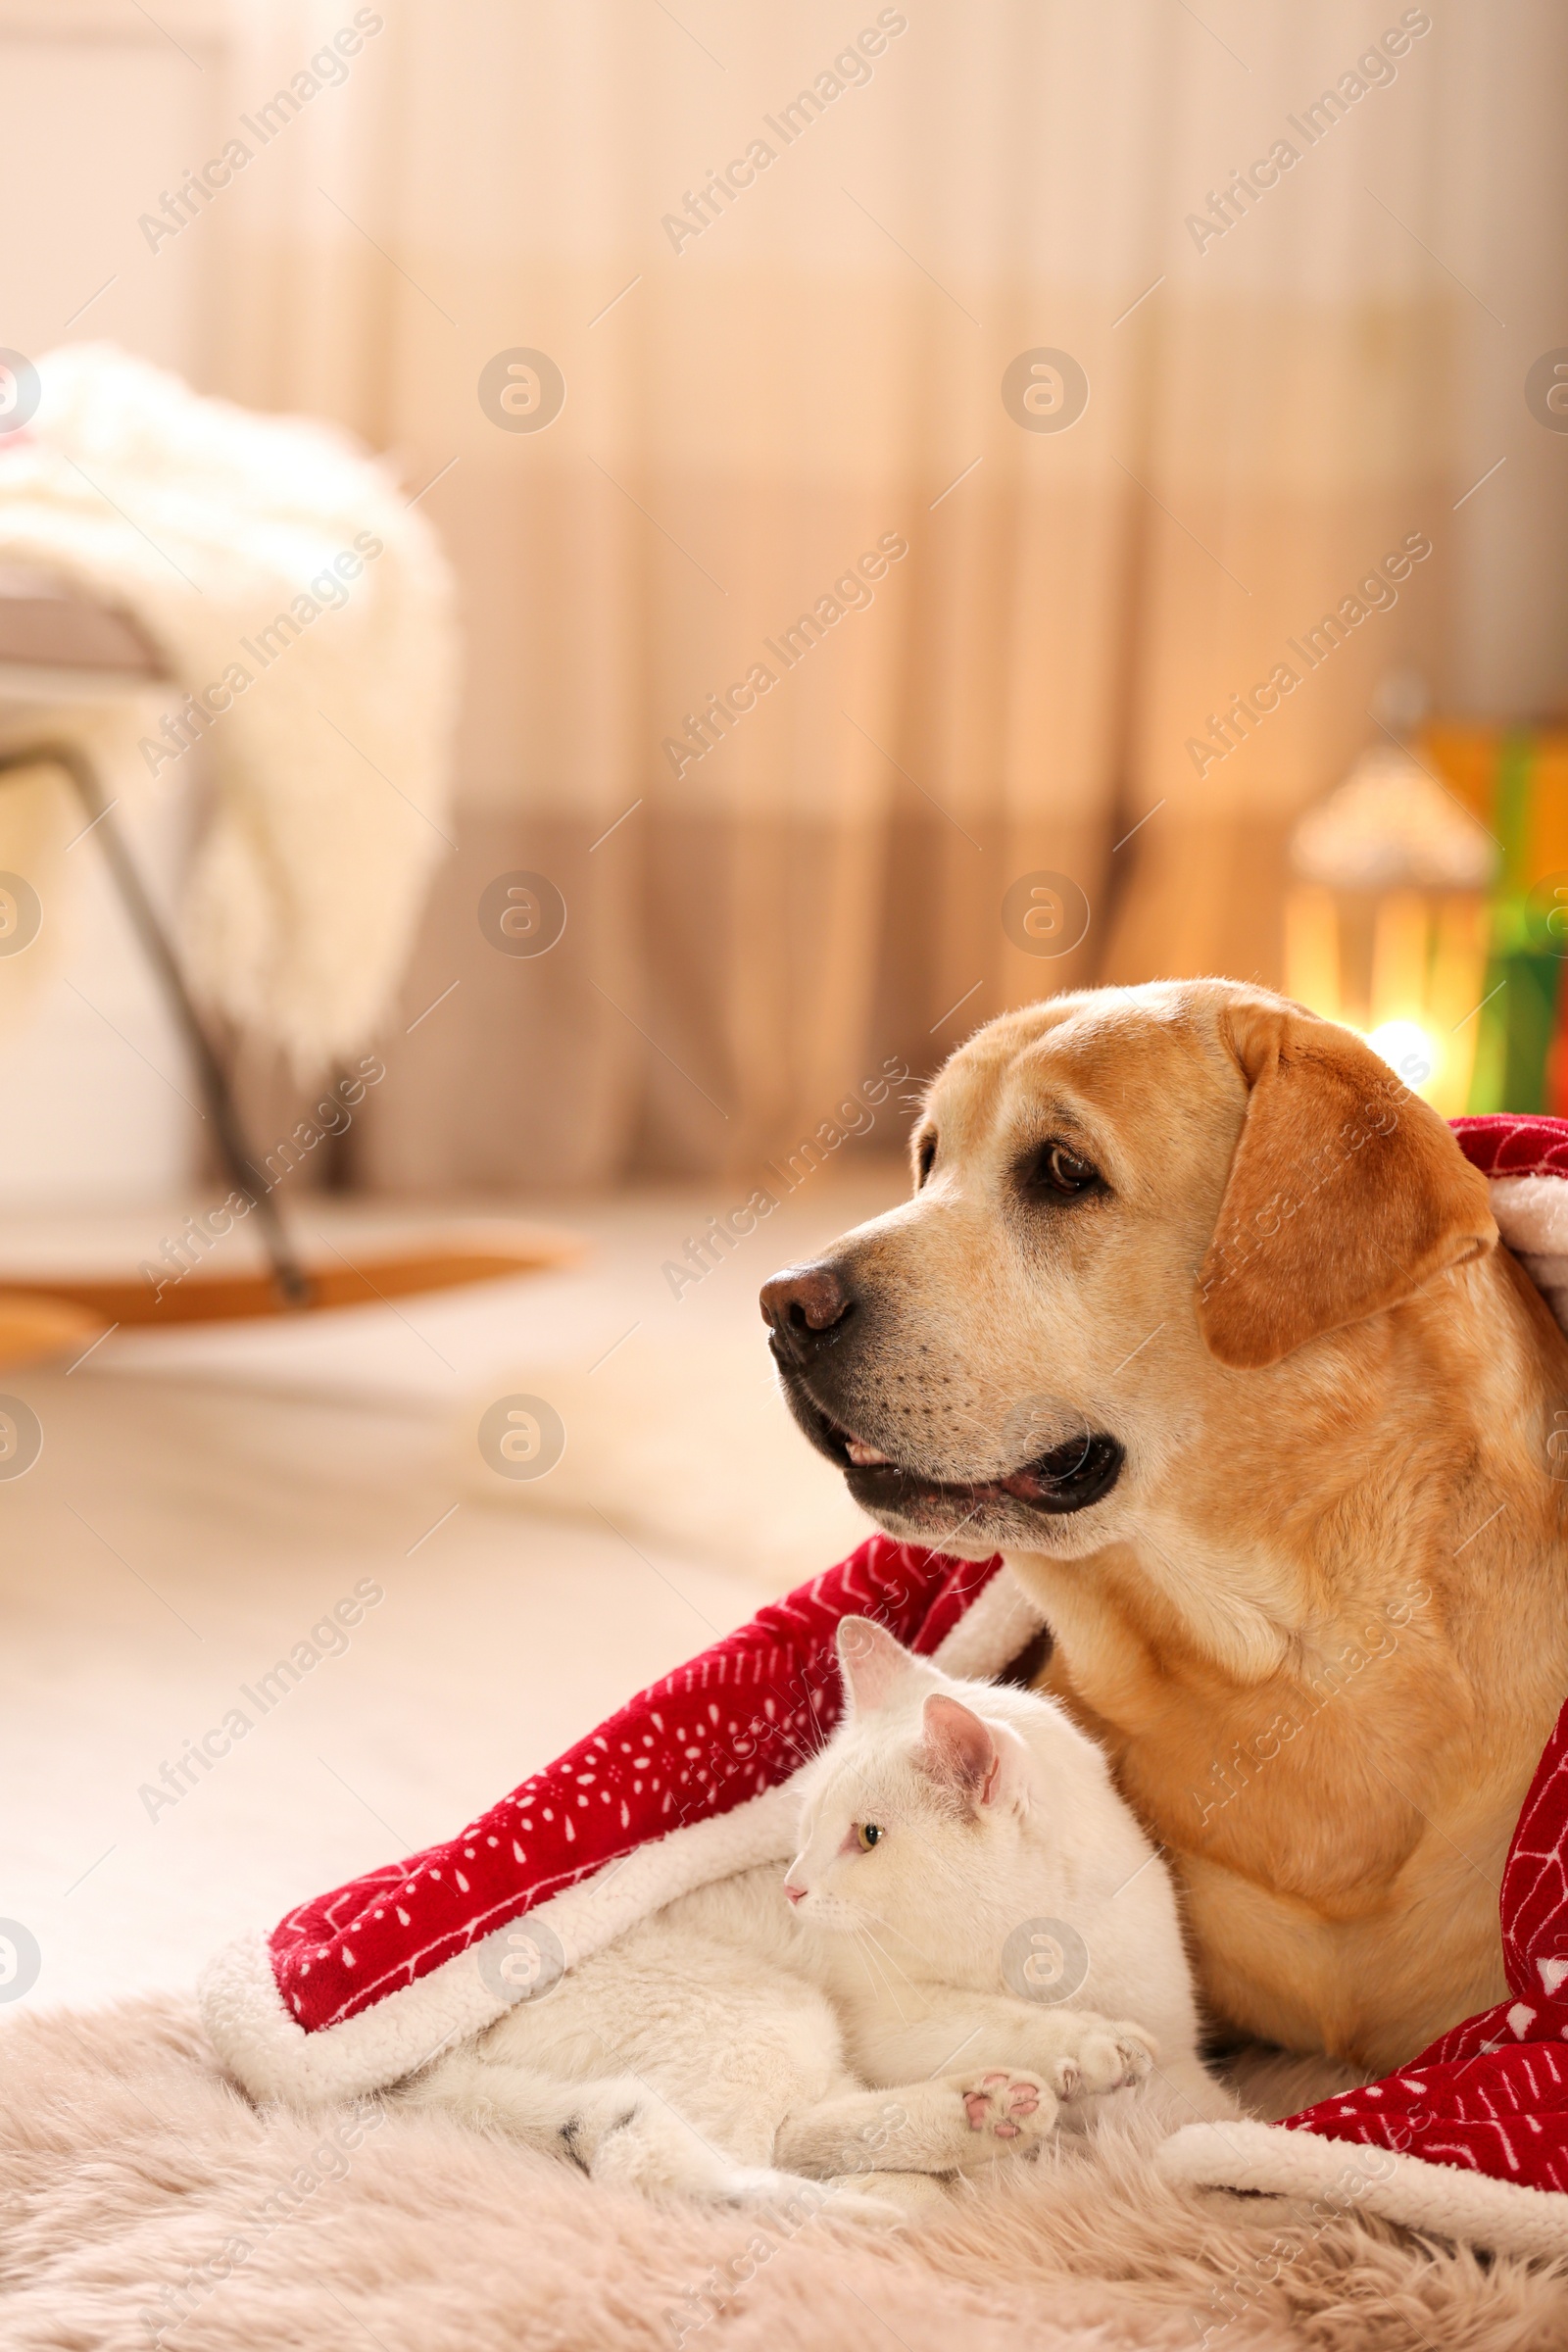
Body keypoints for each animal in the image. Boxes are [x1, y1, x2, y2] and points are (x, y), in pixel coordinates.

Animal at [409, 1618, 1241, 2201]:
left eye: (868, 1836)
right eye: (808, 1821)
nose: (793, 1888)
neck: (1031, 1948)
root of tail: (439, 2072)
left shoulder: (1176, 2043)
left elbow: (1197, 2103)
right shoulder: (888, 2017)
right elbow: (995, 2018)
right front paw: (1089, 2044)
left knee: (795, 2132)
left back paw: (984, 2112)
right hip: (765, 2010)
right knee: (670, 2161)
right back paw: (882, 2206)